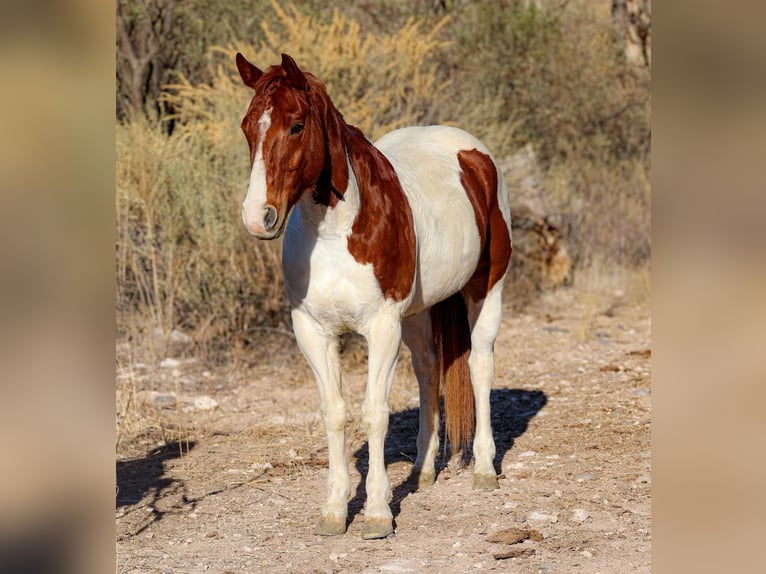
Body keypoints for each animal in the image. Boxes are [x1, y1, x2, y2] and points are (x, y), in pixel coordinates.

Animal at [235, 53, 512, 540]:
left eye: (296, 125)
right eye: (248, 127)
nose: (257, 217)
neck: (336, 230)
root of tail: (473, 154)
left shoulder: (381, 327)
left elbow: (374, 413)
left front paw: (379, 512)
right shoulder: (312, 330)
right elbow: (334, 412)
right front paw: (334, 509)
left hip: (485, 290)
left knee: (480, 365)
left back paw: (483, 468)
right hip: (418, 313)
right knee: (428, 370)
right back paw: (422, 470)